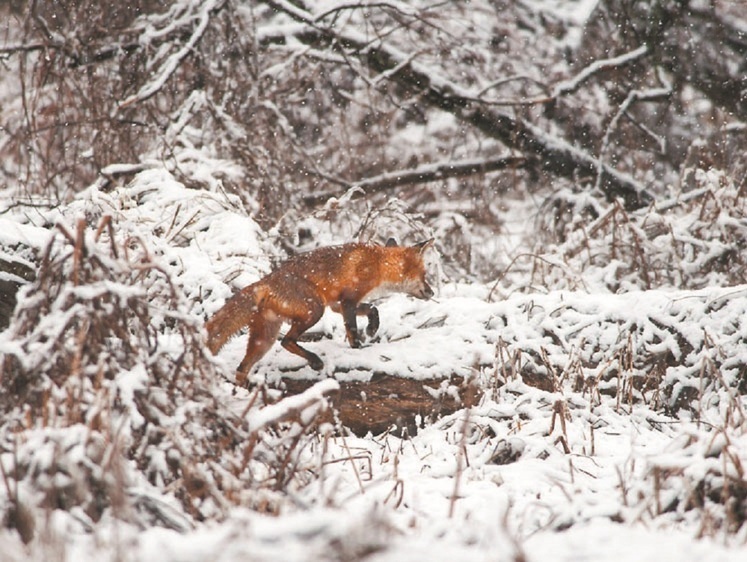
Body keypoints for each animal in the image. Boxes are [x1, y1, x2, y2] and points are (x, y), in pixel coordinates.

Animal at [207, 238, 436, 382]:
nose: (432, 292)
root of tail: (265, 281)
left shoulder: (337, 304)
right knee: (286, 341)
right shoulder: (348, 300)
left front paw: (372, 328)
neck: (378, 264)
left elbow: (372, 309)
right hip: (314, 310)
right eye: (424, 274)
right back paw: (315, 361)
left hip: (265, 339)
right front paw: (358, 348)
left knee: (242, 368)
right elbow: (352, 330)